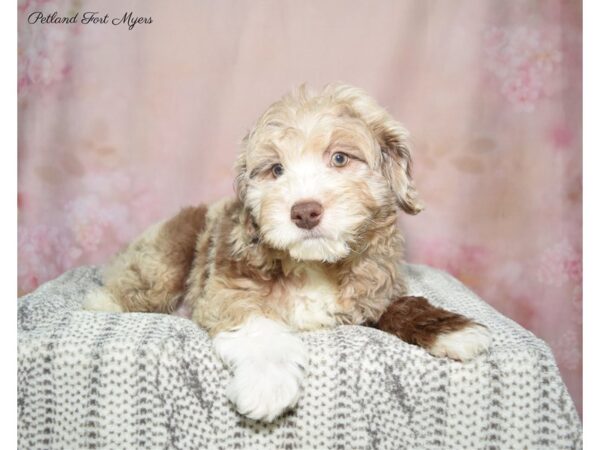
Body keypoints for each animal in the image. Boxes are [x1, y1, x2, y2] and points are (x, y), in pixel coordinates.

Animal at [84, 83, 490, 422]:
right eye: (276, 169)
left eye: (340, 158)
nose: (304, 211)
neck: (315, 262)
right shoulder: (226, 289)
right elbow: (258, 324)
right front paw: (268, 382)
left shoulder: (375, 288)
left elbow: (404, 305)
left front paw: (453, 329)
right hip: (169, 255)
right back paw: (102, 300)